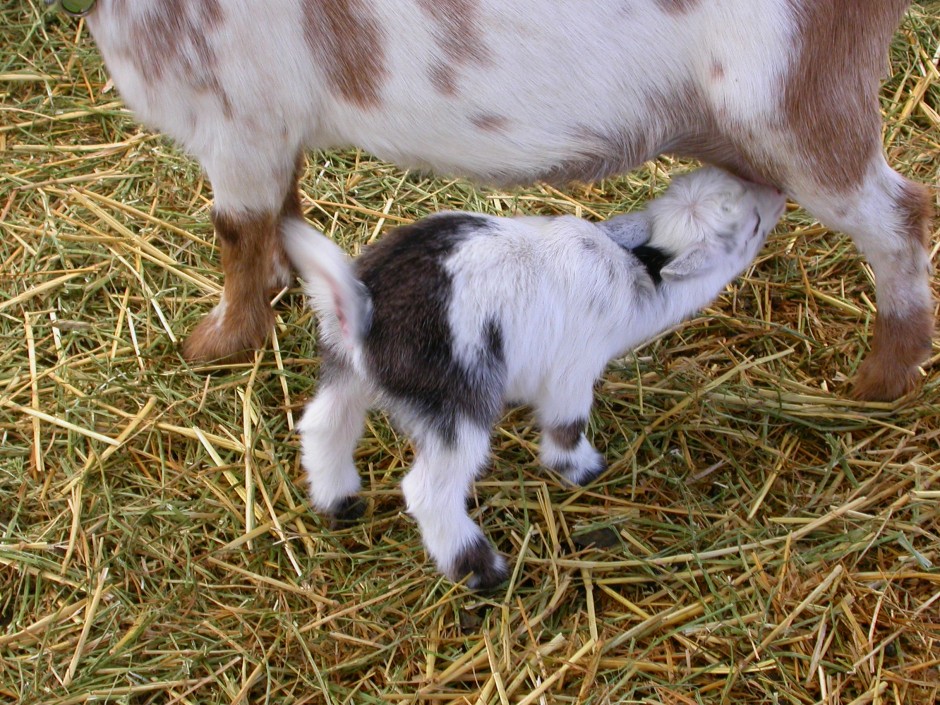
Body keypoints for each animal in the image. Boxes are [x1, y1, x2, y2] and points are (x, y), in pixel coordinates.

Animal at [78, 0, 933, 401]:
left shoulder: (238, 121)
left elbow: (237, 226)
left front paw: (214, 343)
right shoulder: (270, 131)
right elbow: (282, 211)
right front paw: (282, 287)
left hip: (799, 102)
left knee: (900, 215)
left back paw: (878, 380)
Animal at [285, 167, 787, 589]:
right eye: (754, 224)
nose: (778, 195)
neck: (639, 275)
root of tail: (364, 309)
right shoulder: (573, 372)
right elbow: (566, 427)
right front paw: (582, 468)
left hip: (346, 369)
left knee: (325, 426)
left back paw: (340, 503)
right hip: (456, 400)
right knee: (429, 490)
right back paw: (482, 569)